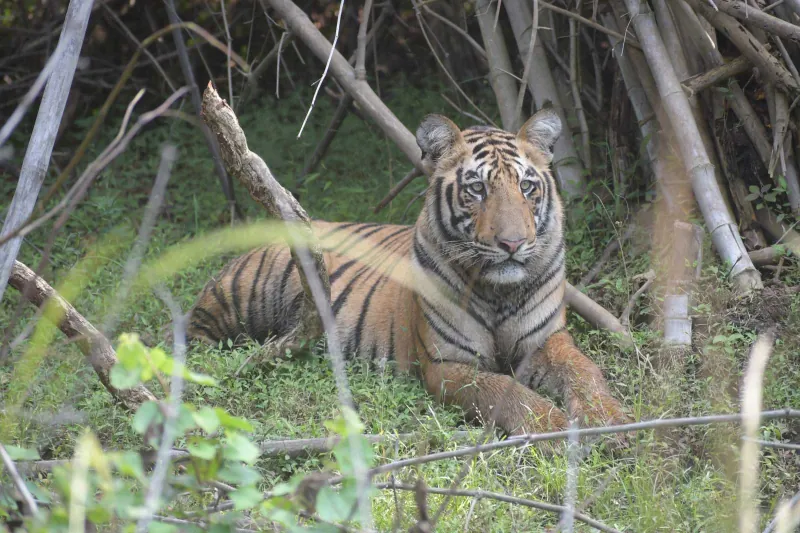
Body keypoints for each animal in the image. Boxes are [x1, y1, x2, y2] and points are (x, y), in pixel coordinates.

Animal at [187, 110, 631, 435]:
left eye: (526, 187)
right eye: (477, 189)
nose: (513, 243)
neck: (498, 291)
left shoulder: (548, 340)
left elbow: (585, 371)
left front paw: (610, 422)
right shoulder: (447, 364)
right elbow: (505, 391)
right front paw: (556, 428)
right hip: (237, 298)